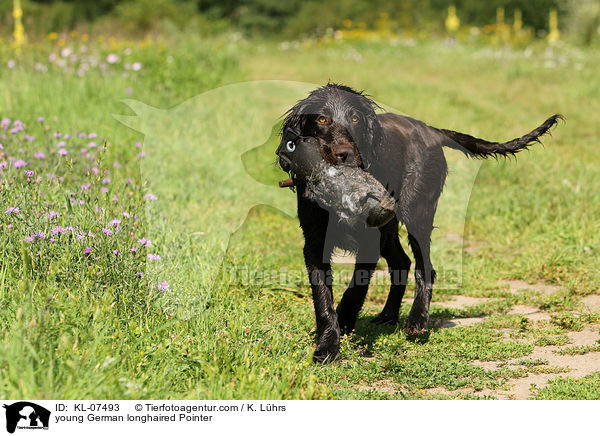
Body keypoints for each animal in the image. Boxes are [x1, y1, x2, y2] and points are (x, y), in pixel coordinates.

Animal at [278, 83, 564, 362]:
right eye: (322, 118)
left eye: (355, 118)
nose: (344, 154)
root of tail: (431, 130)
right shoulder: (315, 243)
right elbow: (322, 298)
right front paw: (327, 344)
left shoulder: (369, 241)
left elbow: (355, 289)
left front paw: (345, 324)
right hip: (390, 226)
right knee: (401, 263)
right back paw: (388, 316)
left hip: (417, 213)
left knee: (424, 267)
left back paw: (417, 320)